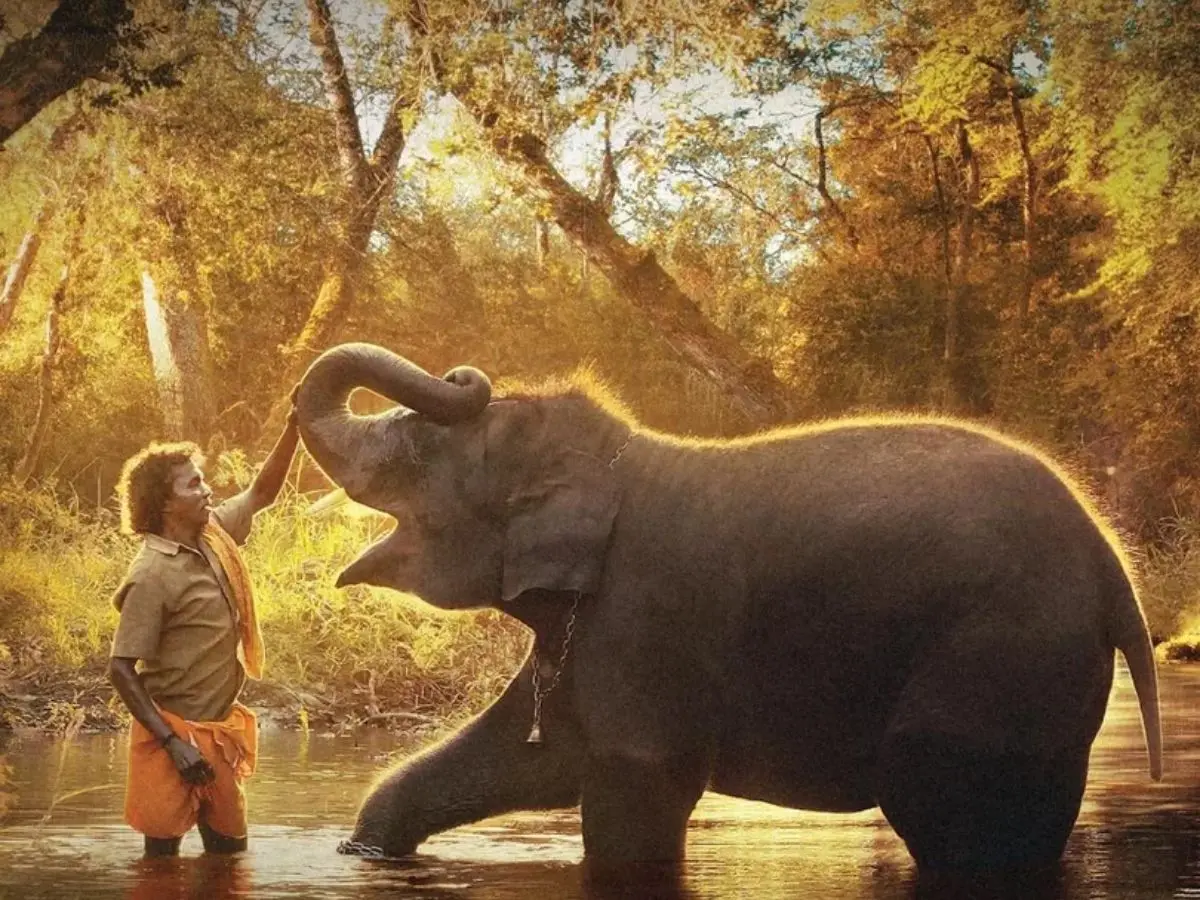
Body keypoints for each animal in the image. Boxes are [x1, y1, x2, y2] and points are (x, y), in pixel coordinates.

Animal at [295, 341, 1163, 875]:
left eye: (417, 452)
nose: (464, 373)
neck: (616, 462)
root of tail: (1114, 571)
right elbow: (531, 757)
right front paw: (367, 852)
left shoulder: (647, 615)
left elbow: (636, 785)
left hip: (999, 656)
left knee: (943, 806)